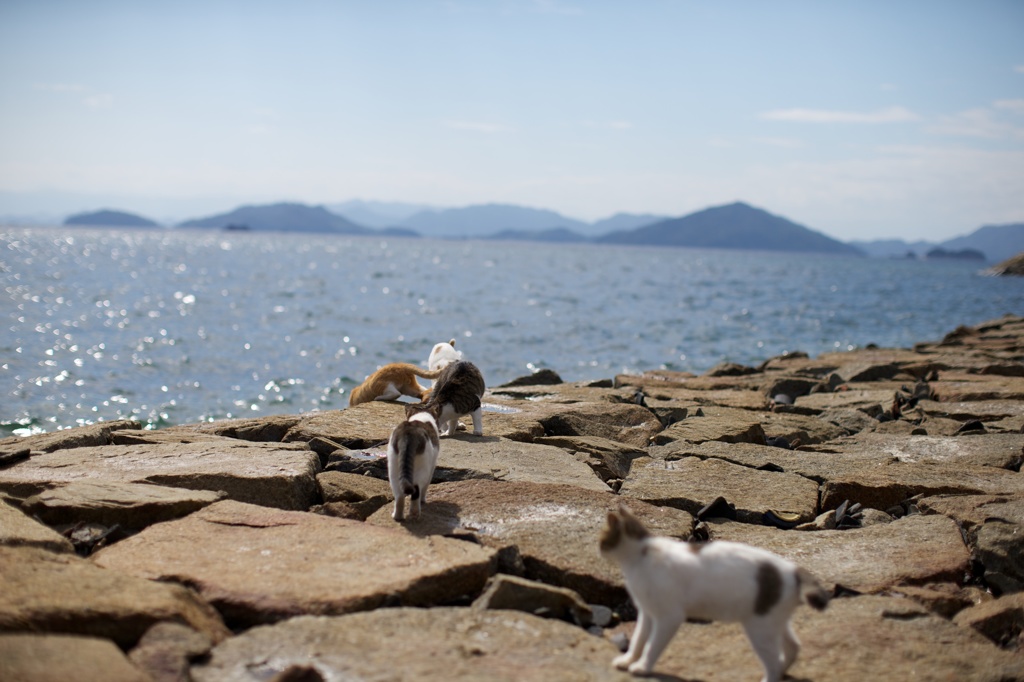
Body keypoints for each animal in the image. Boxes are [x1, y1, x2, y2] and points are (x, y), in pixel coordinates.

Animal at [598, 499, 823, 679]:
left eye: (602, 539)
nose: (598, 548)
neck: (640, 556)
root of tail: (793, 571)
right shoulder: (648, 613)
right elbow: (638, 640)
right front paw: (627, 661)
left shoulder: (669, 617)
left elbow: (652, 646)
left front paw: (642, 667)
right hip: (773, 621)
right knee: (793, 647)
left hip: (761, 629)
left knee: (774, 664)